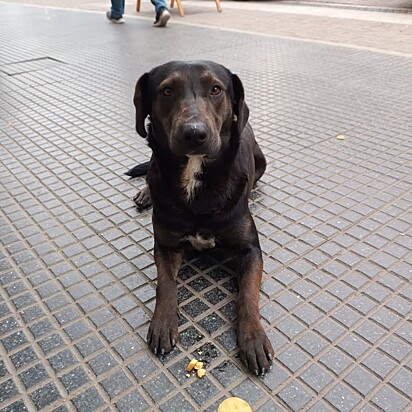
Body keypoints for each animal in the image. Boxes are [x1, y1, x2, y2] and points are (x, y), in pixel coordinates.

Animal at [127, 61, 272, 376]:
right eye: (167, 90)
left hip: (262, 162)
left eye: (216, 89)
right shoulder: (165, 245)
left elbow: (247, 295)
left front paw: (253, 337)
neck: (196, 175)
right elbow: (165, 284)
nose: (194, 133)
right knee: (150, 171)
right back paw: (146, 192)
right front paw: (163, 321)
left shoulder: (250, 250)